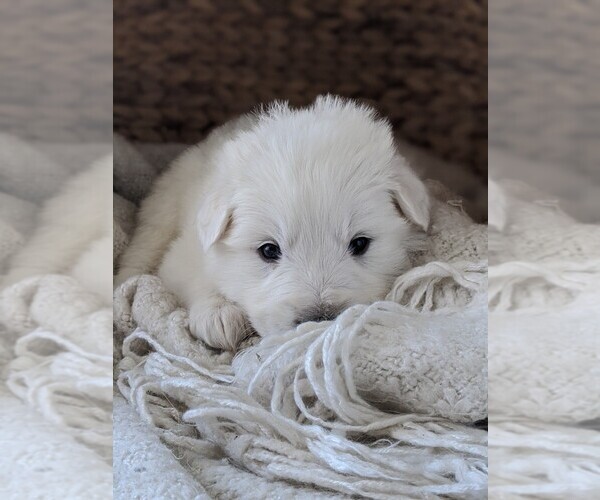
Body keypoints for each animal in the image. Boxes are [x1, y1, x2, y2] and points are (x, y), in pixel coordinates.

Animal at [116, 95, 426, 350]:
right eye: (268, 250)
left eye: (360, 244)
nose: (319, 319)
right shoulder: (184, 254)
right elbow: (196, 277)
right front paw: (218, 315)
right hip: (162, 209)